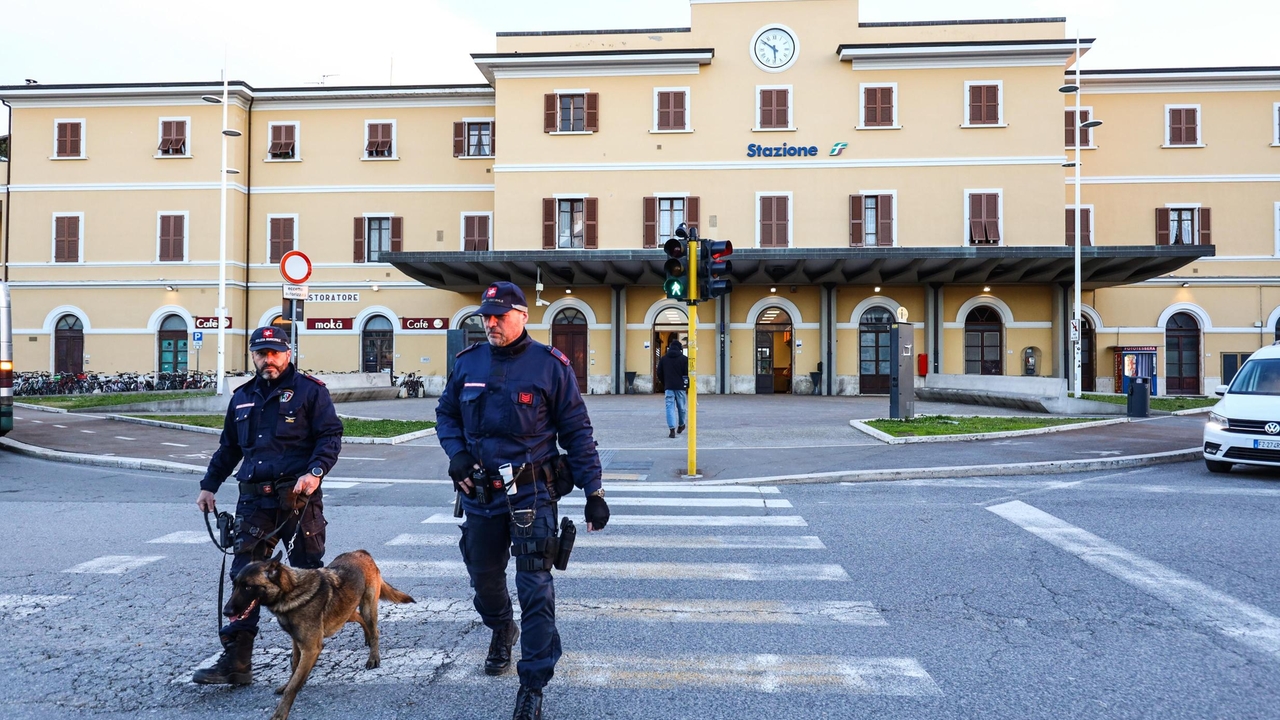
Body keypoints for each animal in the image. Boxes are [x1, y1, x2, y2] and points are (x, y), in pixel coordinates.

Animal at [225, 545, 414, 712]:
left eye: (248, 586)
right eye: (234, 585)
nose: (226, 612)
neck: (290, 592)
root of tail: (361, 552)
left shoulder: (310, 648)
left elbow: (292, 686)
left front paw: (281, 711)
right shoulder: (297, 642)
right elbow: (294, 666)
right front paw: (290, 682)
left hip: (366, 607)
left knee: (375, 630)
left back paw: (373, 656)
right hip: (344, 612)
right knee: (359, 618)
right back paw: (366, 638)